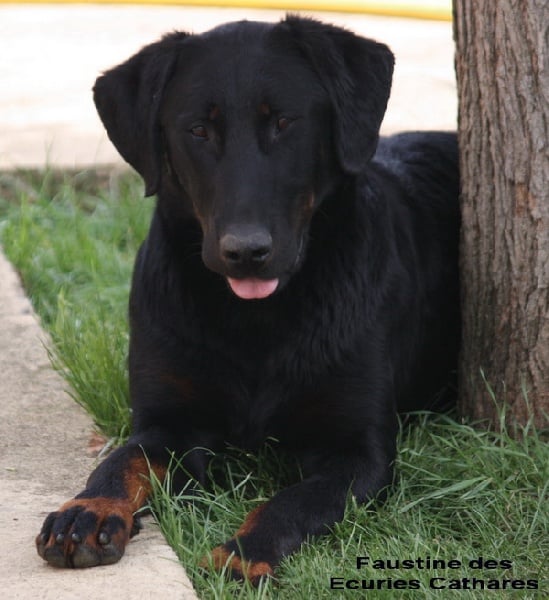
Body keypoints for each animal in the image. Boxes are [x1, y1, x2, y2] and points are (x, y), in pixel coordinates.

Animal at [36, 16, 460, 584]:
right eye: (198, 130)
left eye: (283, 122)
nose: (245, 252)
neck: (255, 321)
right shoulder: (167, 421)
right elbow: (120, 462)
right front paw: (89, 510)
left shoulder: (360, 449)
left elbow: (294, 500)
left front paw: (241, 550)